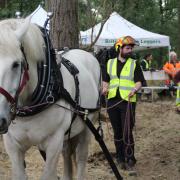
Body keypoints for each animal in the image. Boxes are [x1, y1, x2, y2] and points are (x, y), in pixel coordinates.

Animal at [0, 16, 100, 179]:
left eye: (15, 64)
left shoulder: (54, 142)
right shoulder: (12, 145)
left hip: (87, 125)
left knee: (81, 156)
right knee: (67, 153)